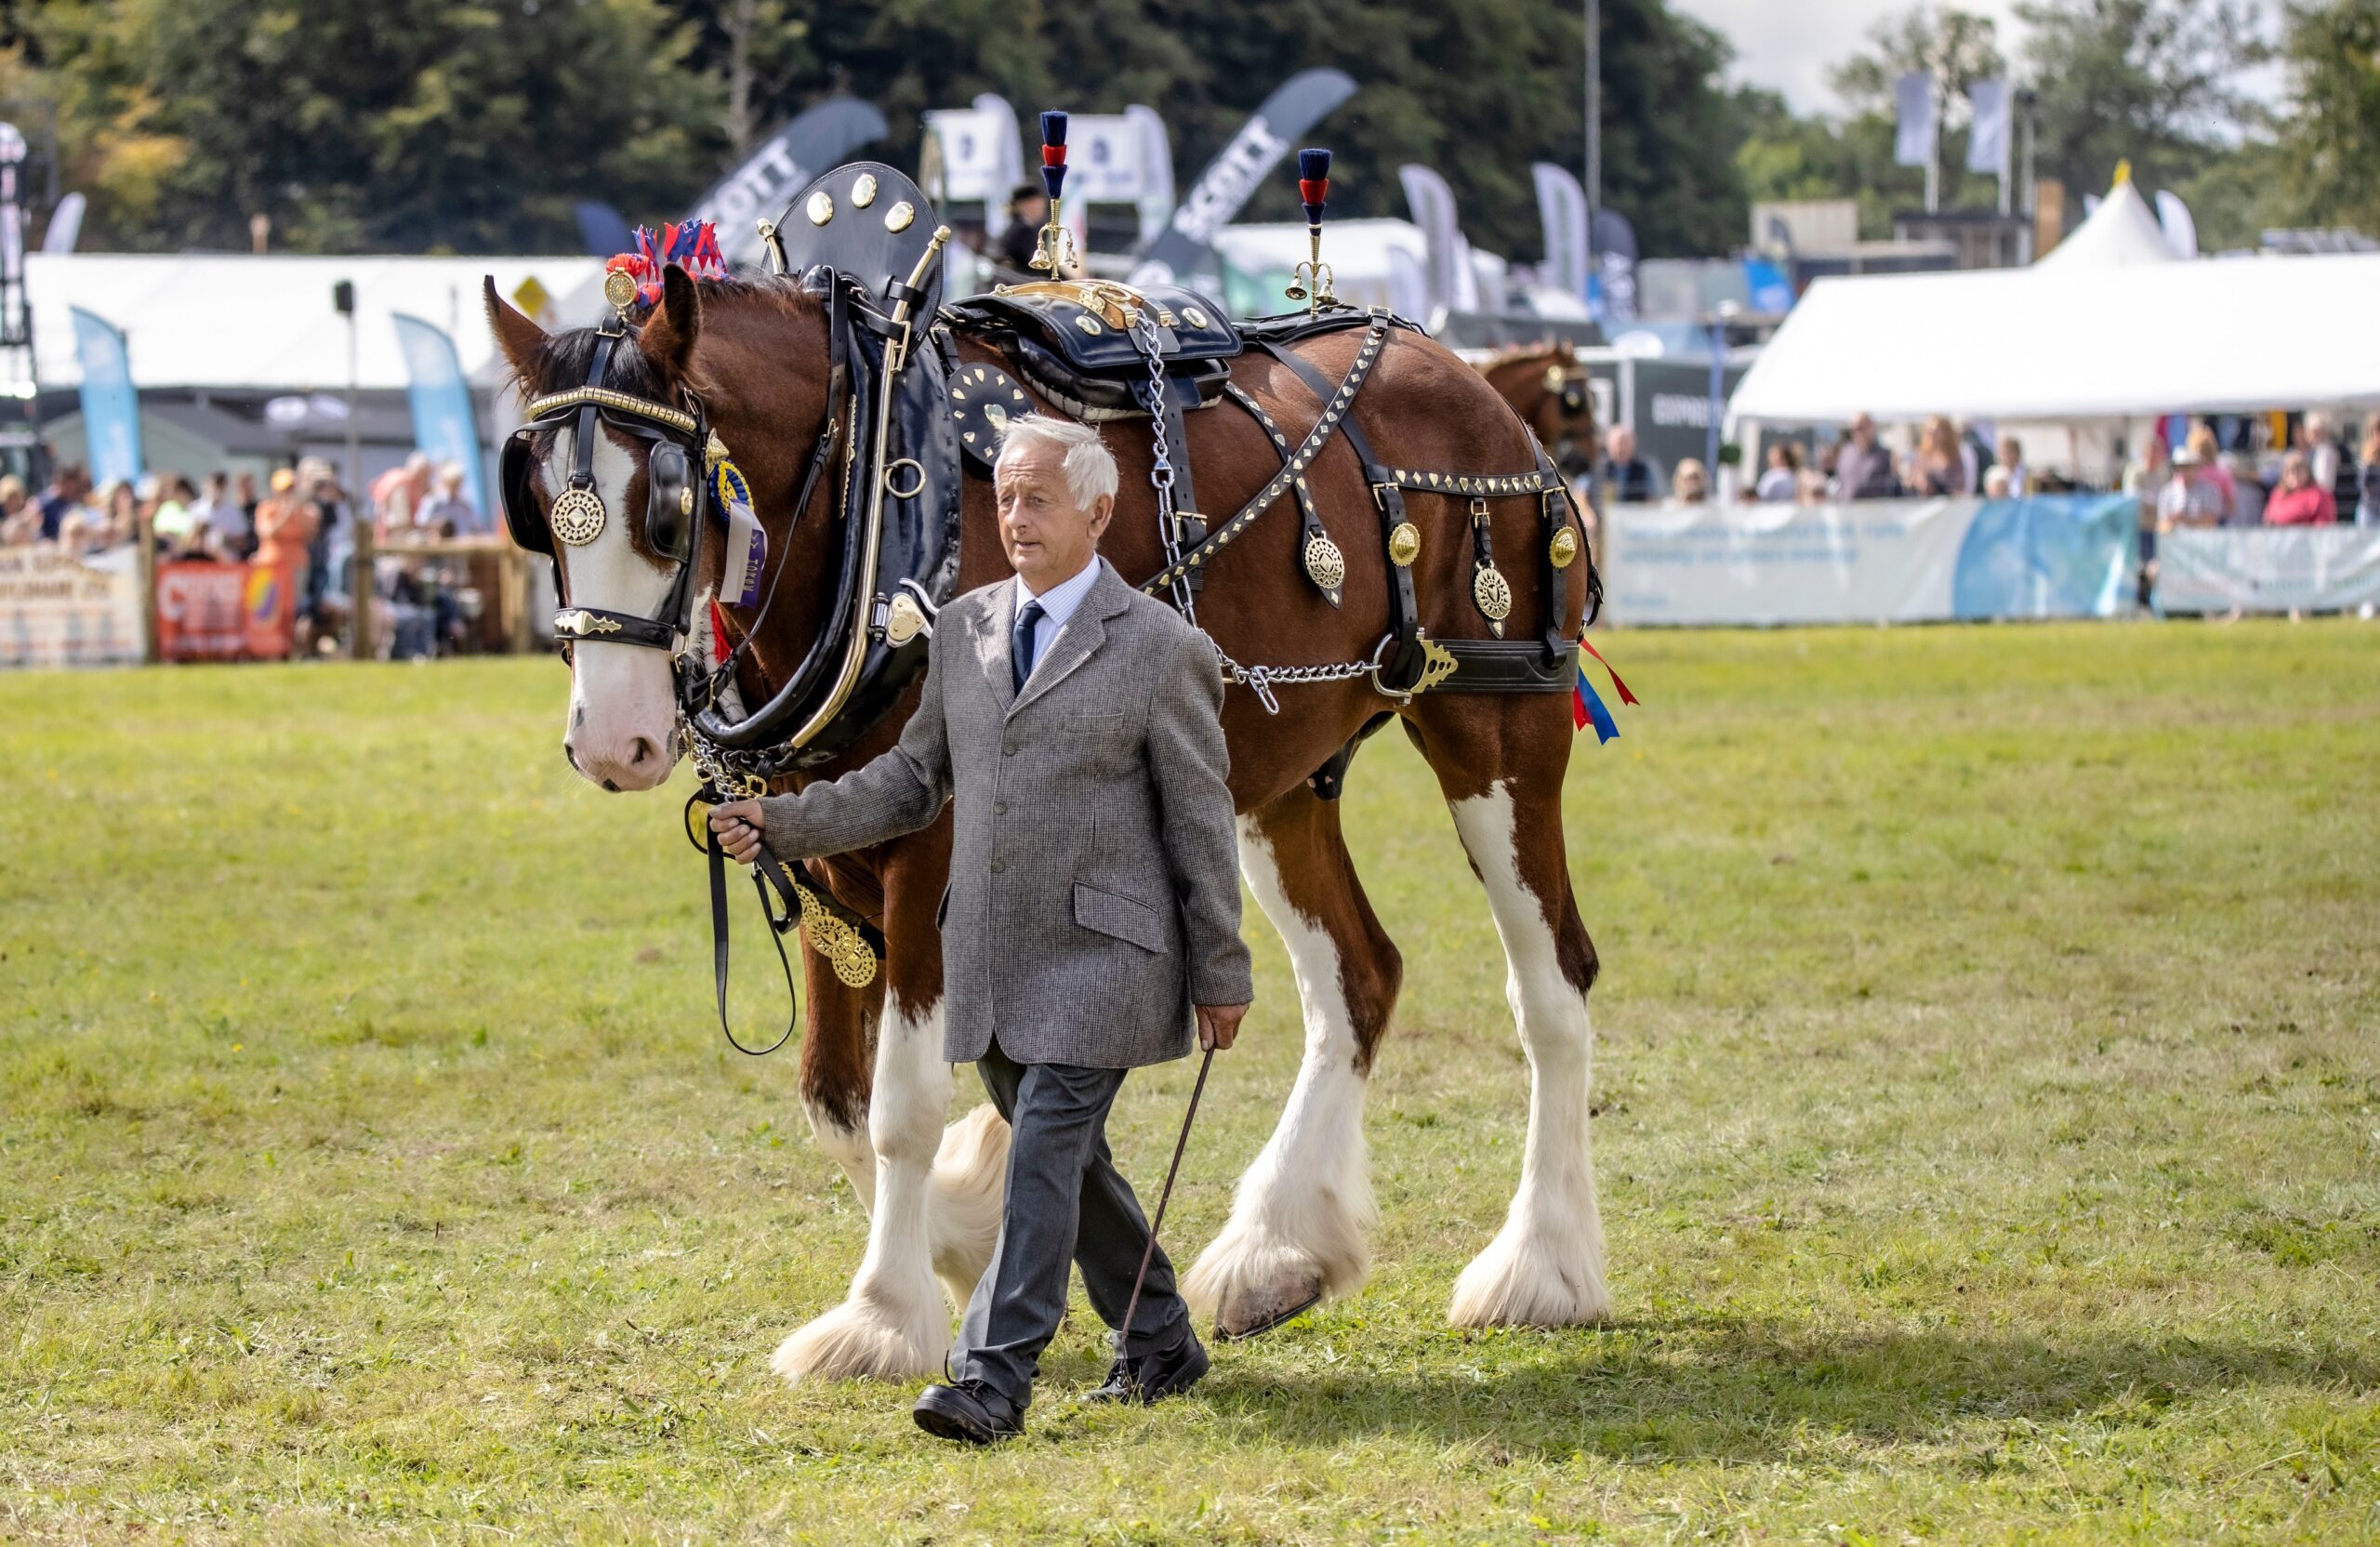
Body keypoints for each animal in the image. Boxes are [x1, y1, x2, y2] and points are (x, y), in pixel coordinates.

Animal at [485, 271, 1608, 1380]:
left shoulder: (933, 853)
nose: (612, 742)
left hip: (1495, 729)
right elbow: (833, 1097)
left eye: (668, 511)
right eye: (535, 508)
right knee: (1358, 977)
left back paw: (1542, 1265)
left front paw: (884, 1315)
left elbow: (901, 1106)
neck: (874, 500)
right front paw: (966, 1230)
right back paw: (1277, 1247)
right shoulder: (823, 852)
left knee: (1551, 984)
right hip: (1275, 778)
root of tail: (1460, 374)